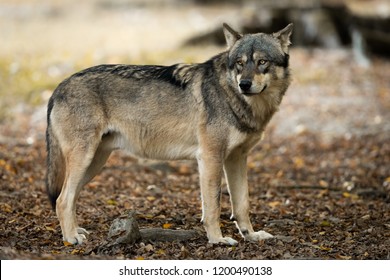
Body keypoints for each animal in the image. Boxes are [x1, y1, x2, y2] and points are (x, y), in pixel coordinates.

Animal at [45, 22, 292, 245]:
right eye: (240, 63)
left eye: (262, 62)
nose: (244, 84)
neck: (234, 97)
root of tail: (58, 87)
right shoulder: (210, 158)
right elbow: (213, 206)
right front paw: (218, 240)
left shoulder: (236, 159)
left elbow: (242, 204)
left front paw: (251, 236)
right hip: (85, 159)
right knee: (62, 200)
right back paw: (71, 238)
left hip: (94, 163)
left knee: (68, 198)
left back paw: (76, 231)